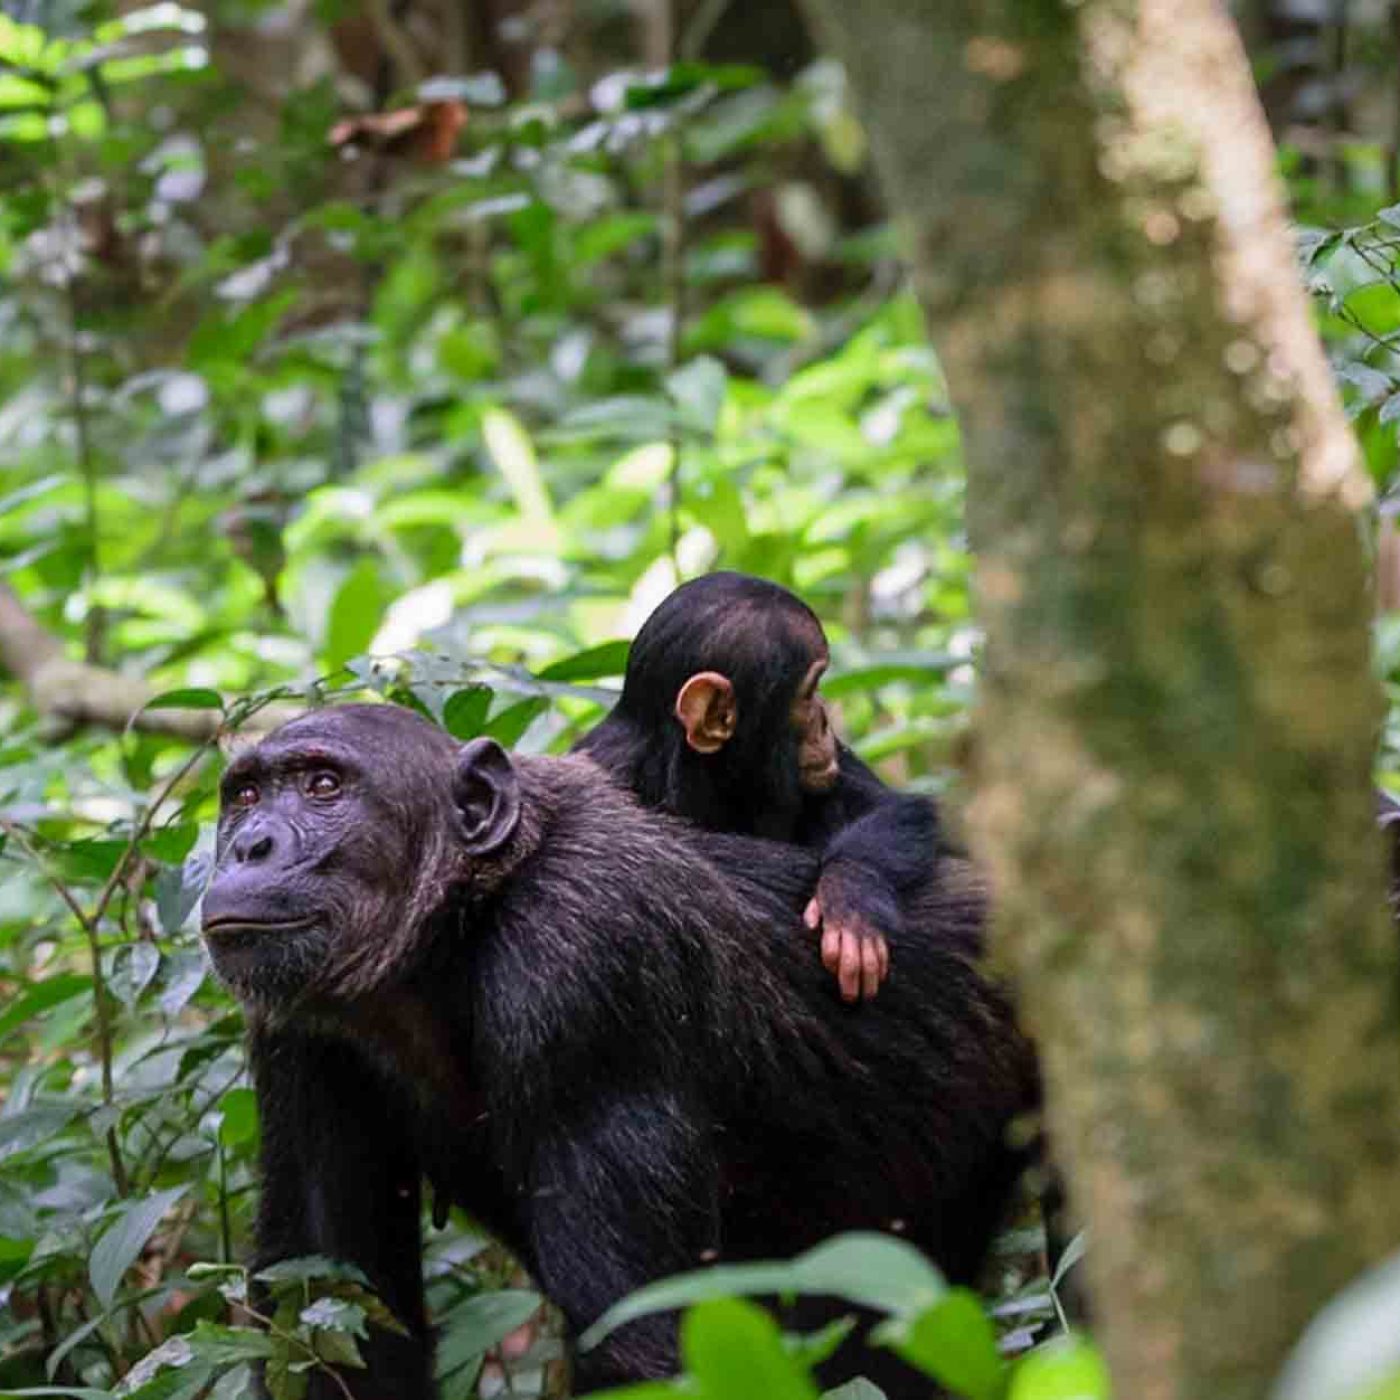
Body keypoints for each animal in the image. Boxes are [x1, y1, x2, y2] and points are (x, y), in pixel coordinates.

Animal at [204, 705, 1041, 1400]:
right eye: (244, 796)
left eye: (322, 785)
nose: (250, 845)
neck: (457, 928)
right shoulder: (295, 1033)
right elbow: (332, 1304)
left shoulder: (583, 967)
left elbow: (636, 1337)